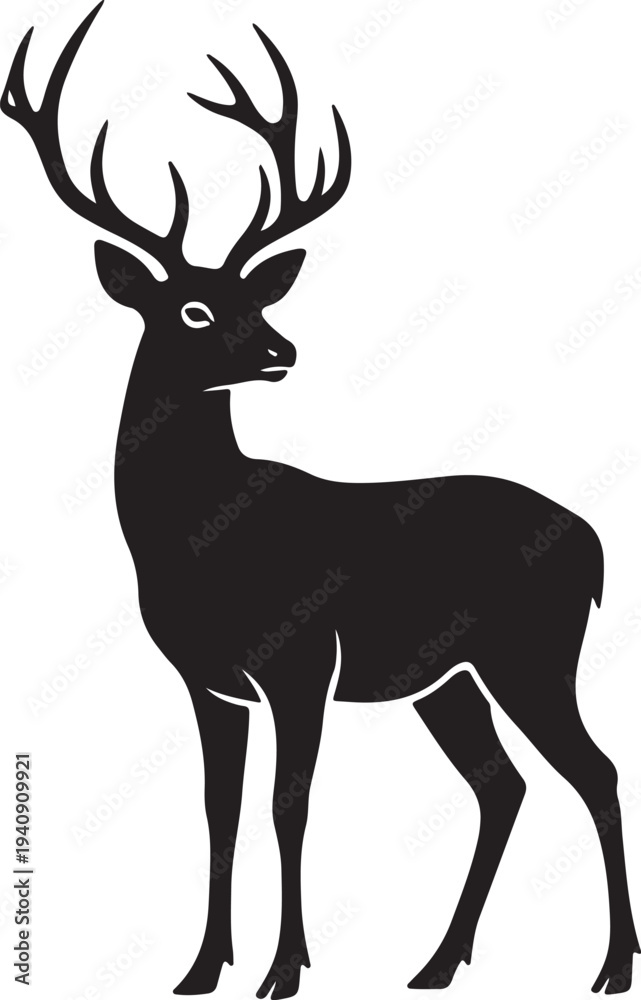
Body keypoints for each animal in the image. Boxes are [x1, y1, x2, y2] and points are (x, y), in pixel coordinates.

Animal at [3, 3, 638, 996]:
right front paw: (199, 970)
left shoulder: (301, 658)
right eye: (191, 308)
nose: (281, 349)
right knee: (504, 784)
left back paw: (609, 965)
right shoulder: (206, 679)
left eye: (251, 297)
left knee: (596, 771)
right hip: (449, 679)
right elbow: (217, 809)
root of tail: (596, 544)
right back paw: (436, 963)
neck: (194, 541)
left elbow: (287, 806)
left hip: (531, 650)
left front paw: (284, 970)